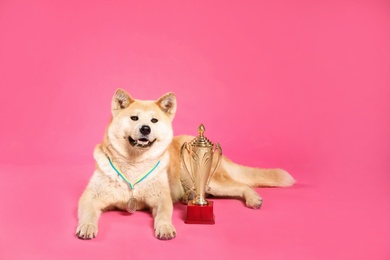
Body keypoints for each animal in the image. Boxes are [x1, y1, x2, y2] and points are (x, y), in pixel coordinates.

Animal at [76, 89, 294, 240]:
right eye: (134, 118)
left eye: (154, 120)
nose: (145, 129)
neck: (134, 166)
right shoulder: (90, 197)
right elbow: (87, 213)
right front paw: (87, 226)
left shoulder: (161, 199)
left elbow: (164, 214)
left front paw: (165, 227)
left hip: (210, 182)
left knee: (243, 185)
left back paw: (253, 199)